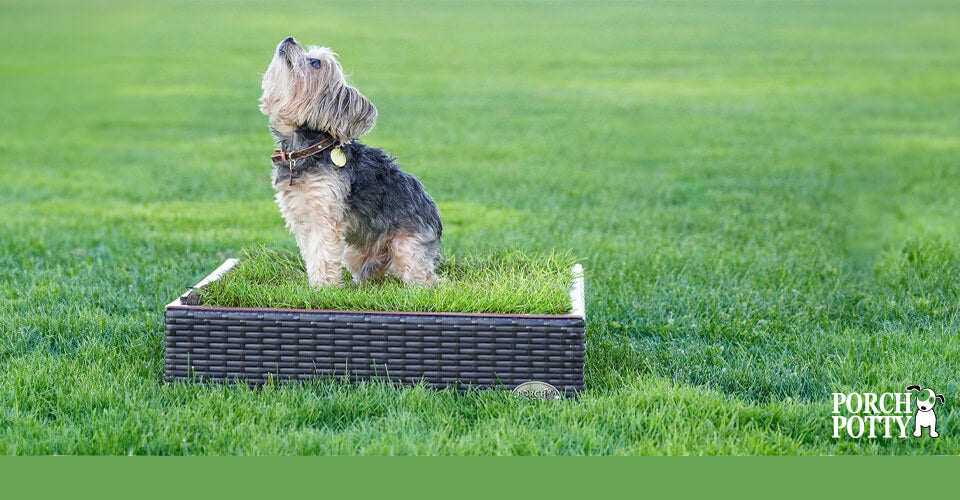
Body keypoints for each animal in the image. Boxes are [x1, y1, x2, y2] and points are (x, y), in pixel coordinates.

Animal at [256, 37, 440, 288]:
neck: (304, 150)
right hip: (356, 254)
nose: (290, 39)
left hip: (406, 247)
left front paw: (322, 288)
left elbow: (322, 252)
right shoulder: (300, 215)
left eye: (315, 63)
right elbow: (310, 252)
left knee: (426, 277)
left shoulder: (325, 214)